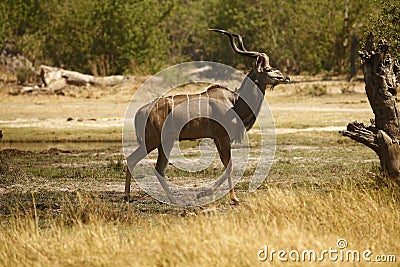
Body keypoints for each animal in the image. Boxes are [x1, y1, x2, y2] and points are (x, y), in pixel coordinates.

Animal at [123, 29, 290, 205]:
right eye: (268, 69)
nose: (286, 77)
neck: (235, 102)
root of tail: (140, 112)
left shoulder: (217, 139)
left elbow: (226, 165)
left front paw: (203, 194)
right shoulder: (223, 137)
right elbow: (229, 166)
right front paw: (234, 198)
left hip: (164, 143)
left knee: (158, 168)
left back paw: (171, 199)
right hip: (152, 141)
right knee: (133, 160)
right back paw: (129, 196)